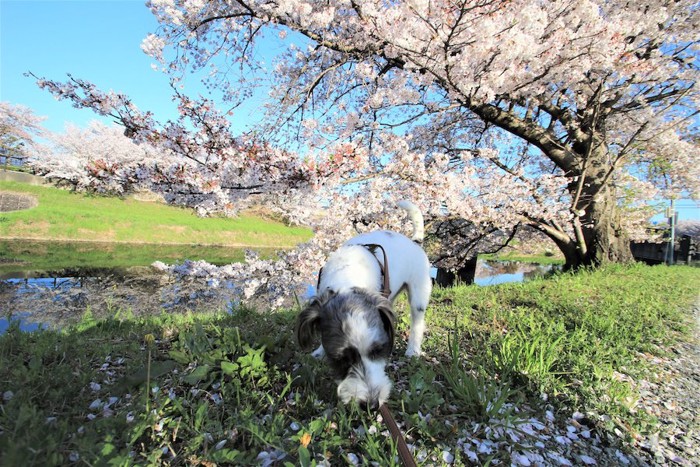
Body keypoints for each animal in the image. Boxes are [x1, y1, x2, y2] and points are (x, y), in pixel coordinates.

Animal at [296, 203, 432, 408]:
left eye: (378, 350)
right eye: (341, 359)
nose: (372, 404)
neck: (346, 280)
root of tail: (414, 241)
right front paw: (319, 351)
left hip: (419, 292)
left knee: (417, 320)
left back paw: (413, 350)